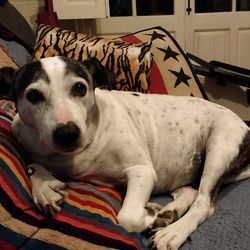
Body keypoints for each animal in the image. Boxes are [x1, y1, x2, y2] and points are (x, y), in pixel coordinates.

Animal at [1, 57, 250, 250]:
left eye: (80, 88)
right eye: (33, 95)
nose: (67, 133)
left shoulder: (141, 171)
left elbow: (127, 218)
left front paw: (148, 215)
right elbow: (33, 164)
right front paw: (45, 187)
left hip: (219, 146)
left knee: (203, 202)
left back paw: (173, 231)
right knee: (189, 192)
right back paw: (169, 214)